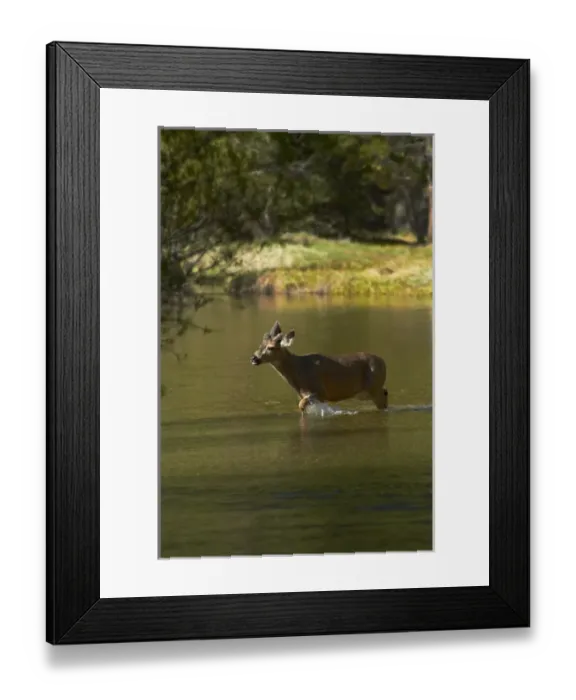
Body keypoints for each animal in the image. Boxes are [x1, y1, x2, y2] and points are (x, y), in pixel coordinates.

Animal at [250, 321, 389, 413]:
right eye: (260, 344)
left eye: (271, 347)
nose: (254, 358)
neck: (298, 370)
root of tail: (383, 362)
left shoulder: (320, 391)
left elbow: (301, 405)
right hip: (366, 392)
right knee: (385, 392)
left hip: (374, 388)